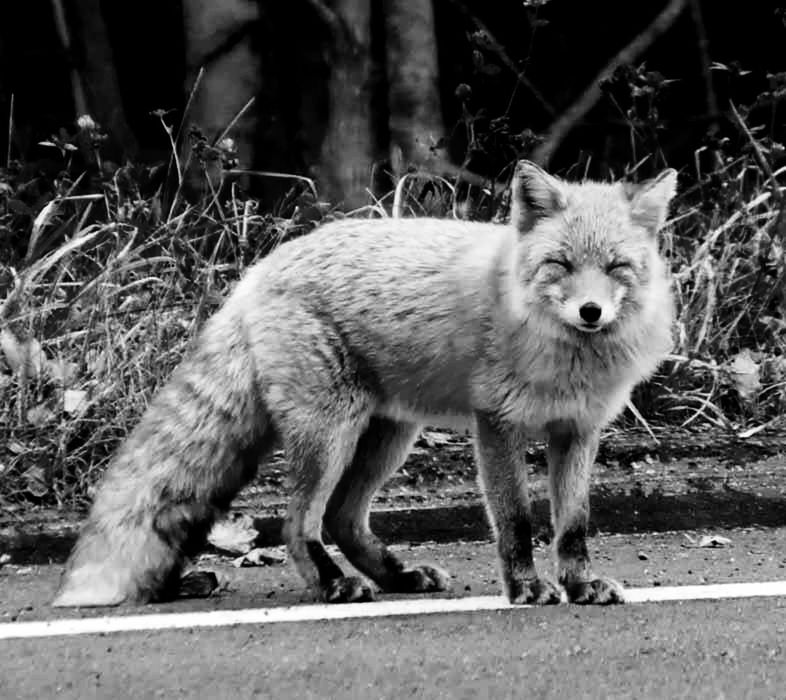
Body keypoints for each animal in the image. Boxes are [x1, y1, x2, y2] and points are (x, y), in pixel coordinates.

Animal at [52, 159, 676, 608]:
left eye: (617, 267)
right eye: (561, 265)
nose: (591, 312)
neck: (565, 358)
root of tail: (260, 269)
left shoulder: (577, 430)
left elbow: (572, 525)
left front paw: (579, 585)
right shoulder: (497, 426)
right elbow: (517, 522)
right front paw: (527, 588)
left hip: (387, 437)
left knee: (342, 518)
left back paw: (397, 575)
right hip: (331, 435)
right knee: (298, 522)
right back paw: (334, 585)